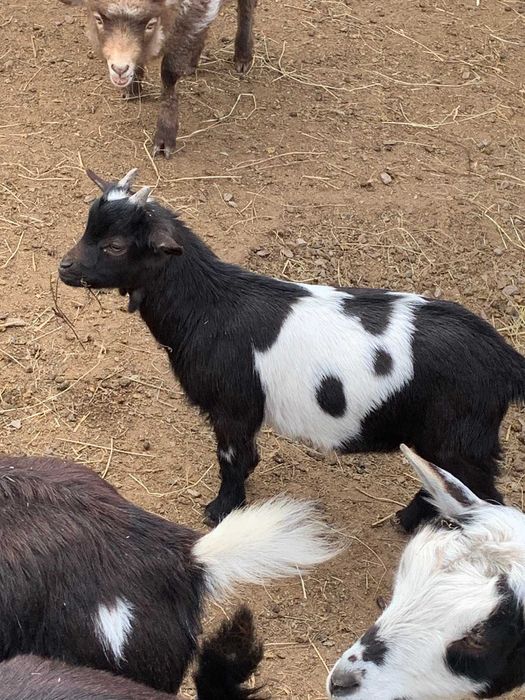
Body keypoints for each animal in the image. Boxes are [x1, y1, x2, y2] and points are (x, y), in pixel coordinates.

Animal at [58, 0, 257, 157]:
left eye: (150, 24)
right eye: (98, 19)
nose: (120, 69)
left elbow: (169, 72)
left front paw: (164, 137)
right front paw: (133, 88)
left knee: (247, 5)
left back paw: (243, 56)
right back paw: (193, 60)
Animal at [58, 167, 525, 531]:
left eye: (116, 245)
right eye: (86, 227)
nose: (64, 267)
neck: (210, 307)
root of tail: (505, 361)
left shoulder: (234, 406)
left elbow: (236, 459)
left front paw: (220, 511)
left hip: (462, 439)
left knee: (483, 495)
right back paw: (407, 520)